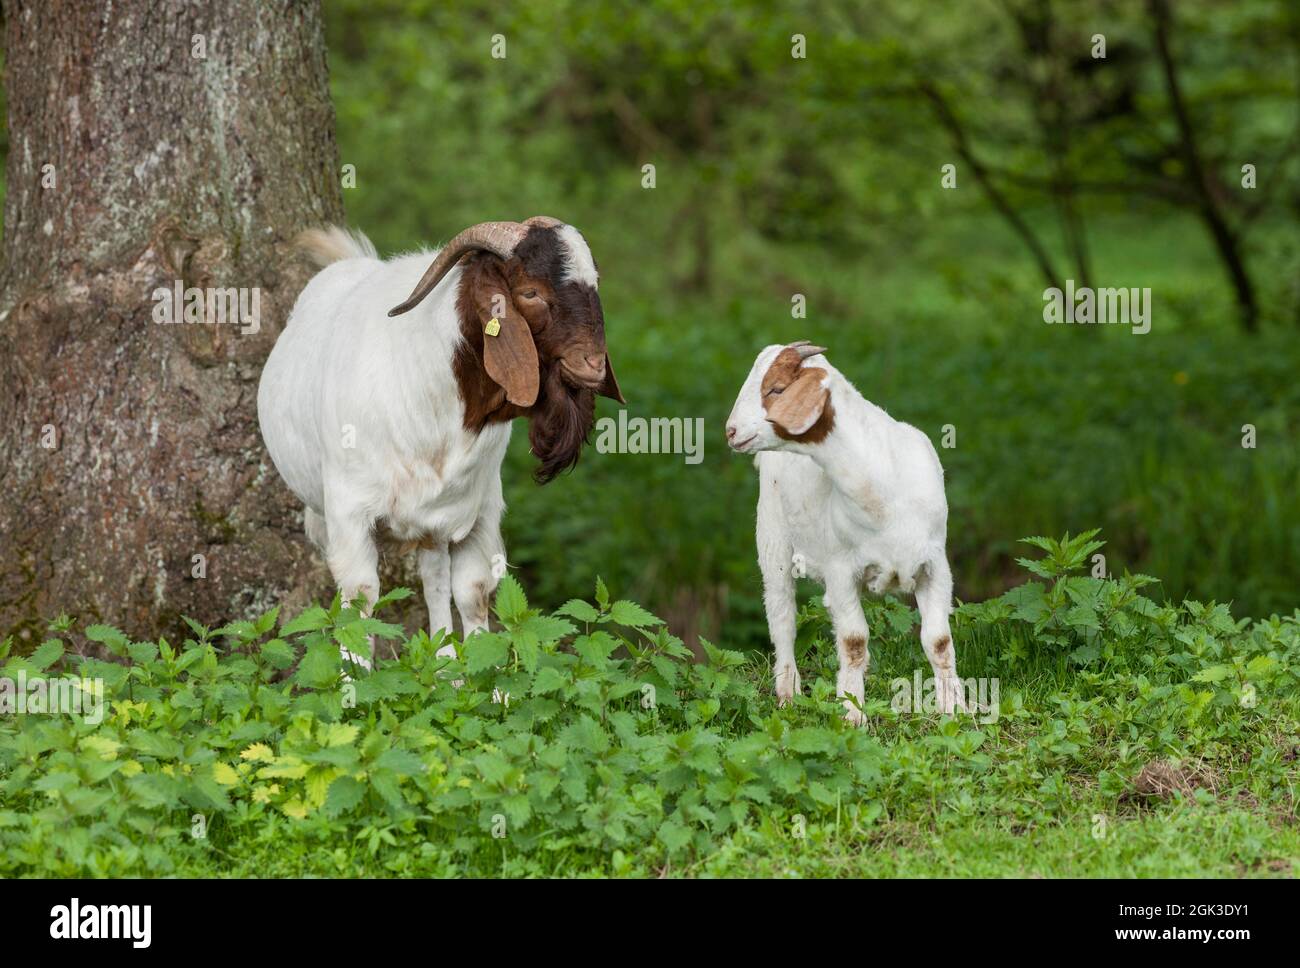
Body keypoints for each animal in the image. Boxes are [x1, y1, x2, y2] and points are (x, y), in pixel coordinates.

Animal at [256, 218, 621, 665]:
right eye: (530, 292)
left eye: (594, 284)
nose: (593, 365)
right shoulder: (348, 508)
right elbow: (360, 598)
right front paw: (350, 680)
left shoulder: (481, 509)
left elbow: (472, 592)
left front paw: (482, 677)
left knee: (433, 579)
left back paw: (444, 662)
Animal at [728, 343, 961, 722]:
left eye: (776, 389)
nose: (731, 431)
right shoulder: (839, 570)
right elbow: (853, 641)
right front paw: (852, 714)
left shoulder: (934, 564)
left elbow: (939, 640)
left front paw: (955, 708)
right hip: (773, 538)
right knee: (782, 616)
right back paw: (788, 694)